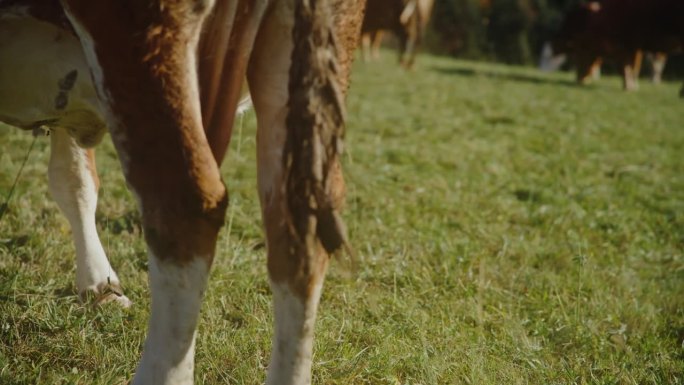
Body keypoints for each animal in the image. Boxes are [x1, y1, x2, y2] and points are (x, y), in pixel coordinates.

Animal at [552, 0, 680, 93]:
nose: (579, 81)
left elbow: (628, 67)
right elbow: (631, 67)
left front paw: (629, 88)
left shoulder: (627, 45)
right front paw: (632, 87)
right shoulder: (632, 46)